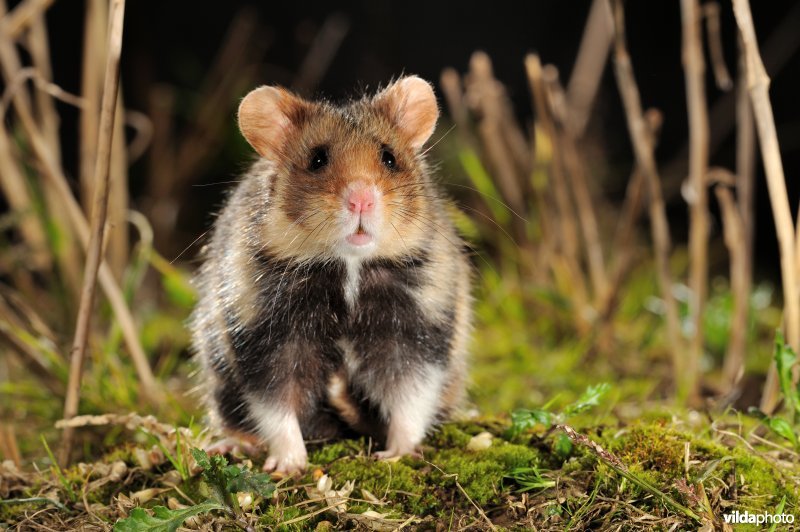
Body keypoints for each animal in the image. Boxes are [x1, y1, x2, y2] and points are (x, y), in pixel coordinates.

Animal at [190, 76, 472, 475]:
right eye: (317, 160)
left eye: (389, 157)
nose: (361, 199)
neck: (349, 265)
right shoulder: (267, 339)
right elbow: (276, 405)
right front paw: (289, 465)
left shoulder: (415, 332)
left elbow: (409, 397)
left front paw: (397, 454)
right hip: (220, 382)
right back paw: (230, 446)